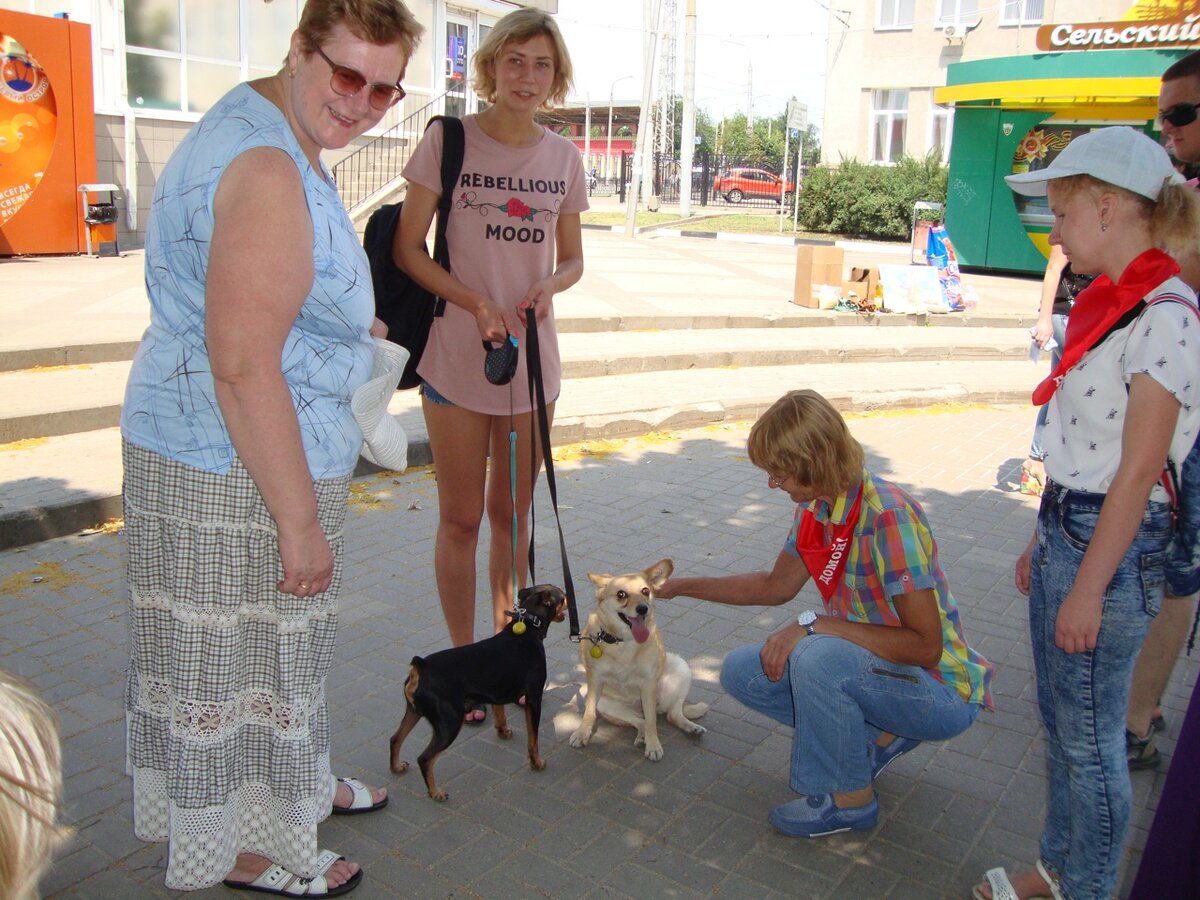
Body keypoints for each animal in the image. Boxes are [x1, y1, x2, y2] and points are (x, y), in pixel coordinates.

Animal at [388, 585, 566, 801]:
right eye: (563, 598)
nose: (569, 602)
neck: (529, 626)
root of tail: (420, 667)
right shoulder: (534, 699)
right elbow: (534, 737)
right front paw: (537, 762)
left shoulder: (495, 692)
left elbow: (500, 713)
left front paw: (503, 731)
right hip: (449, 723)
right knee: (425, 758)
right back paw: (435, 792)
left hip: (413, 712)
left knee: (395, 739)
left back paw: (396, 767)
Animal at [568, 561, 705, 763]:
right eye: (621, 594)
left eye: (646, 591)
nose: (643, 608)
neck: (624, 641)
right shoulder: (595, 682)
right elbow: (589, 713)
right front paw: (582, 734)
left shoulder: (648, 684)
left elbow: (652, 722)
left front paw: (654, 746)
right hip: (604, 702)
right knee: (640, 721)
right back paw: (642, 737)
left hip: (680, 667)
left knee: (670, 714)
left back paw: (689, 727)